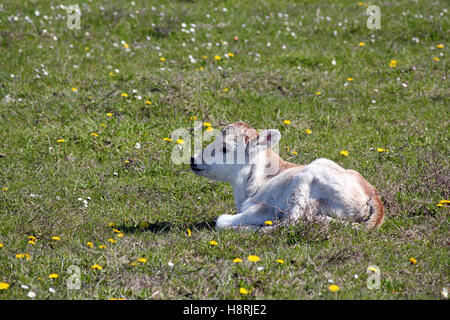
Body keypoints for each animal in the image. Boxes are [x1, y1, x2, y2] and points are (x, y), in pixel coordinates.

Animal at [190, 121, 384, 229]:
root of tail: (374, 196)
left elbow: (221, 221)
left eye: (225, 148)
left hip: (307, 177)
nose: (193, 159)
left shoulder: (264, 208)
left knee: (291, 221)